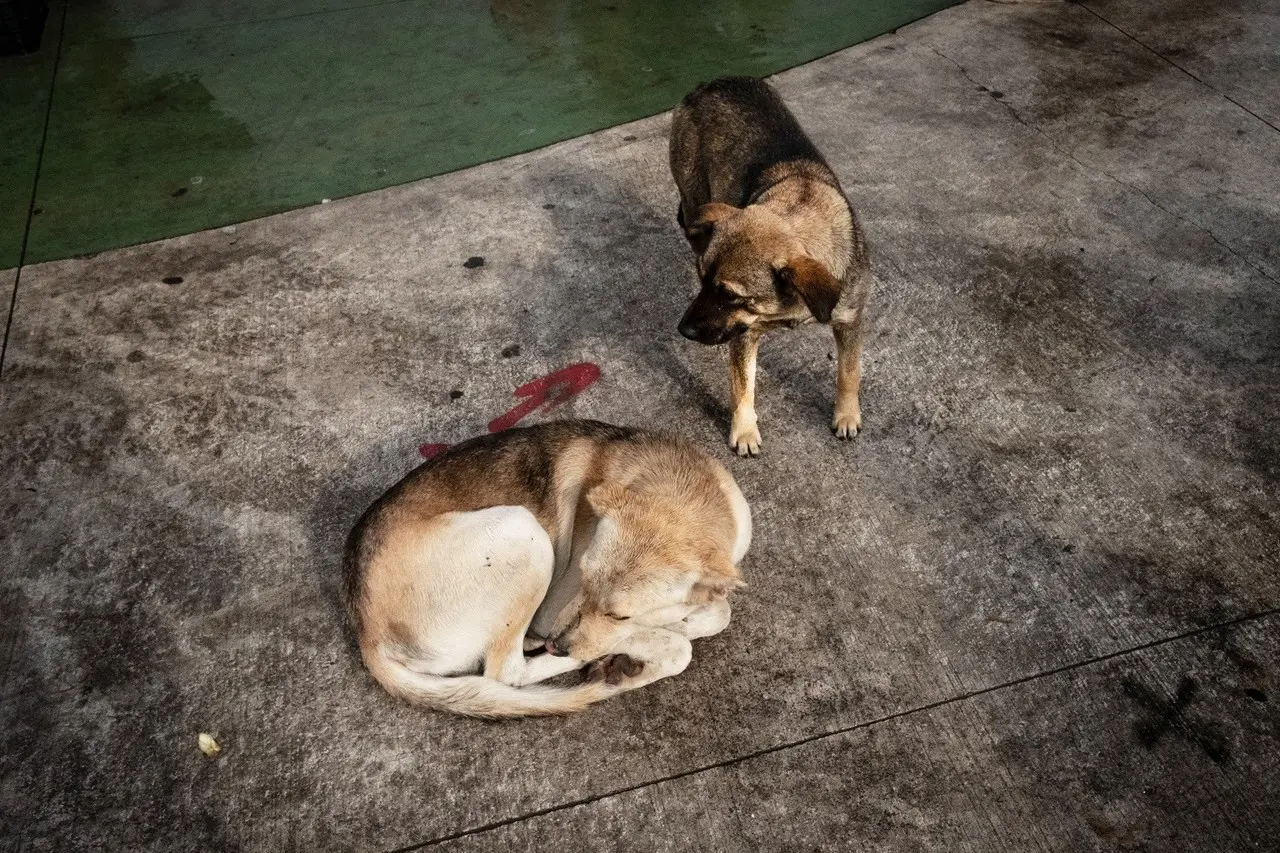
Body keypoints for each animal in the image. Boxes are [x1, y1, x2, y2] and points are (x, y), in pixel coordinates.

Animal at [670, 76, 870, 455]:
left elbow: (849, 371)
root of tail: (708, 84)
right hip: (693, 193)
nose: (683, 330)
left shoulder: (849, 320)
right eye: (702, 281)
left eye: (730, 296)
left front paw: (847, 414)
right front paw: (745, 430)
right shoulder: (744, 334)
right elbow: (742, 387)